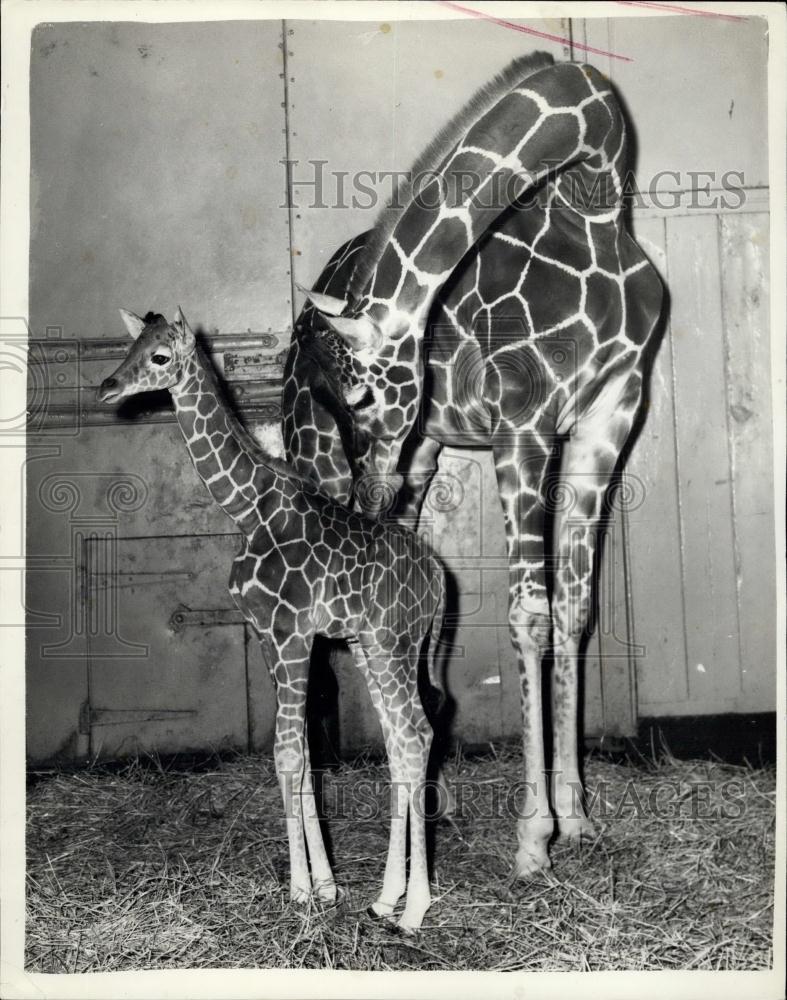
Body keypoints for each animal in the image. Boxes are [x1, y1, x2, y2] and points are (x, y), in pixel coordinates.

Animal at [98, 308, 446, 932]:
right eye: (128, 346)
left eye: (160, 357)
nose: (108, 388)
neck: (246, 507)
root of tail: (438, 580)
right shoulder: (267, 636)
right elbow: (302, 755)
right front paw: (327, 887)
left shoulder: (293, 635)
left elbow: (287, 754)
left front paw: (301, 891)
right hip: (373, 648)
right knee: (403, 740)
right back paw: (387, 897)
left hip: (393, 643)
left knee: (414, 736)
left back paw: (413, 910)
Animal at [283, 52, 664, 878]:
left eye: (364, 392)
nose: (370, 487)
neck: (590, 206)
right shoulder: (523, 420)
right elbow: (528, 615)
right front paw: (531, 838)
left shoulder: (609, 417)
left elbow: (574, 610)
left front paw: (577, 816)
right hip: (312, 453)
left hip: (423, 459)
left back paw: (434, 798)